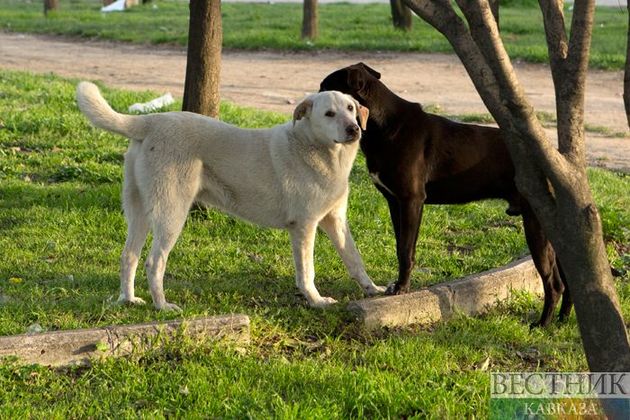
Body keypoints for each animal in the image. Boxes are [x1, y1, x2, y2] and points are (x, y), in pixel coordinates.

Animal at [76, 83, 388, 312]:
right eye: (329, 114)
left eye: (350, 108)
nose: (354, 129)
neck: (315, 149)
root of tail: (150, 121)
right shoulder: (305, 226)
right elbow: (307, 271)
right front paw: (316, 301)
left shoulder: (336, 220)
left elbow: (354, 259)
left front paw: (373, 290)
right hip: (171, 214)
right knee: (154, 263)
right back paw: (162, 306)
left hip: (139, 212)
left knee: (128, 256)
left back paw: (129, 300)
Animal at [320, 62, 572, 326]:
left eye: (326, 88)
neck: (384, 125)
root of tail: (556, 160)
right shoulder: (394, 202)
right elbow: (401, 244)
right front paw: (398, 285)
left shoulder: (411, 200)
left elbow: (406, 249)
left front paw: (402, 288)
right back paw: (562, 319)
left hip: (537, 221)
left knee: (554, 283)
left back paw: (543, 324)